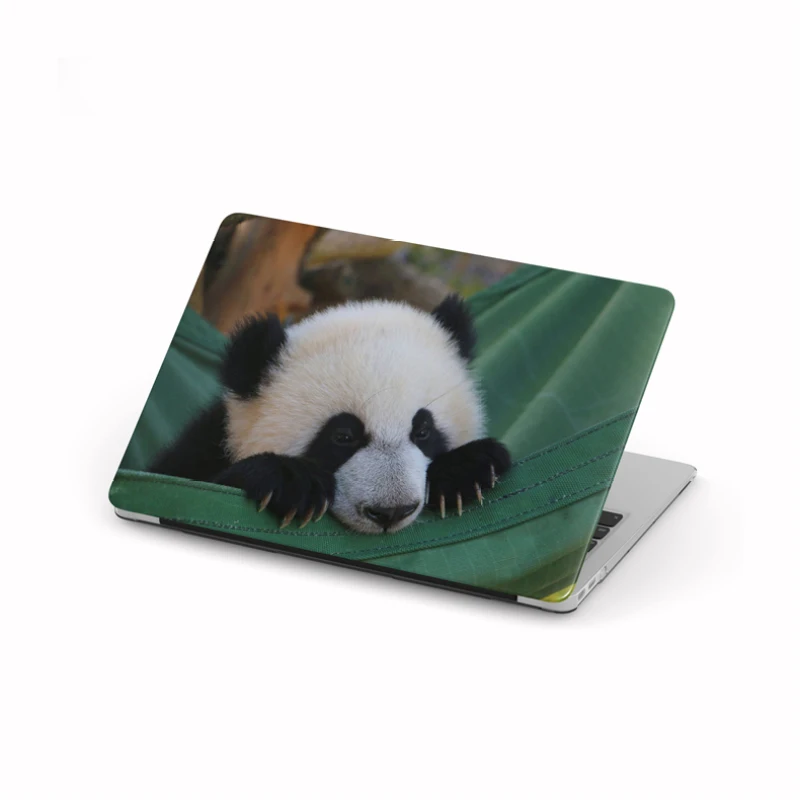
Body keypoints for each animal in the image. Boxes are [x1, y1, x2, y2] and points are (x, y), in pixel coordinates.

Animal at [150, 295, 511, 534]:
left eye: (423, 430)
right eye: (343, 436)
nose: (391, 511)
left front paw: (466, 469)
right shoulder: (202, 447)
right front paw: (291, 483)